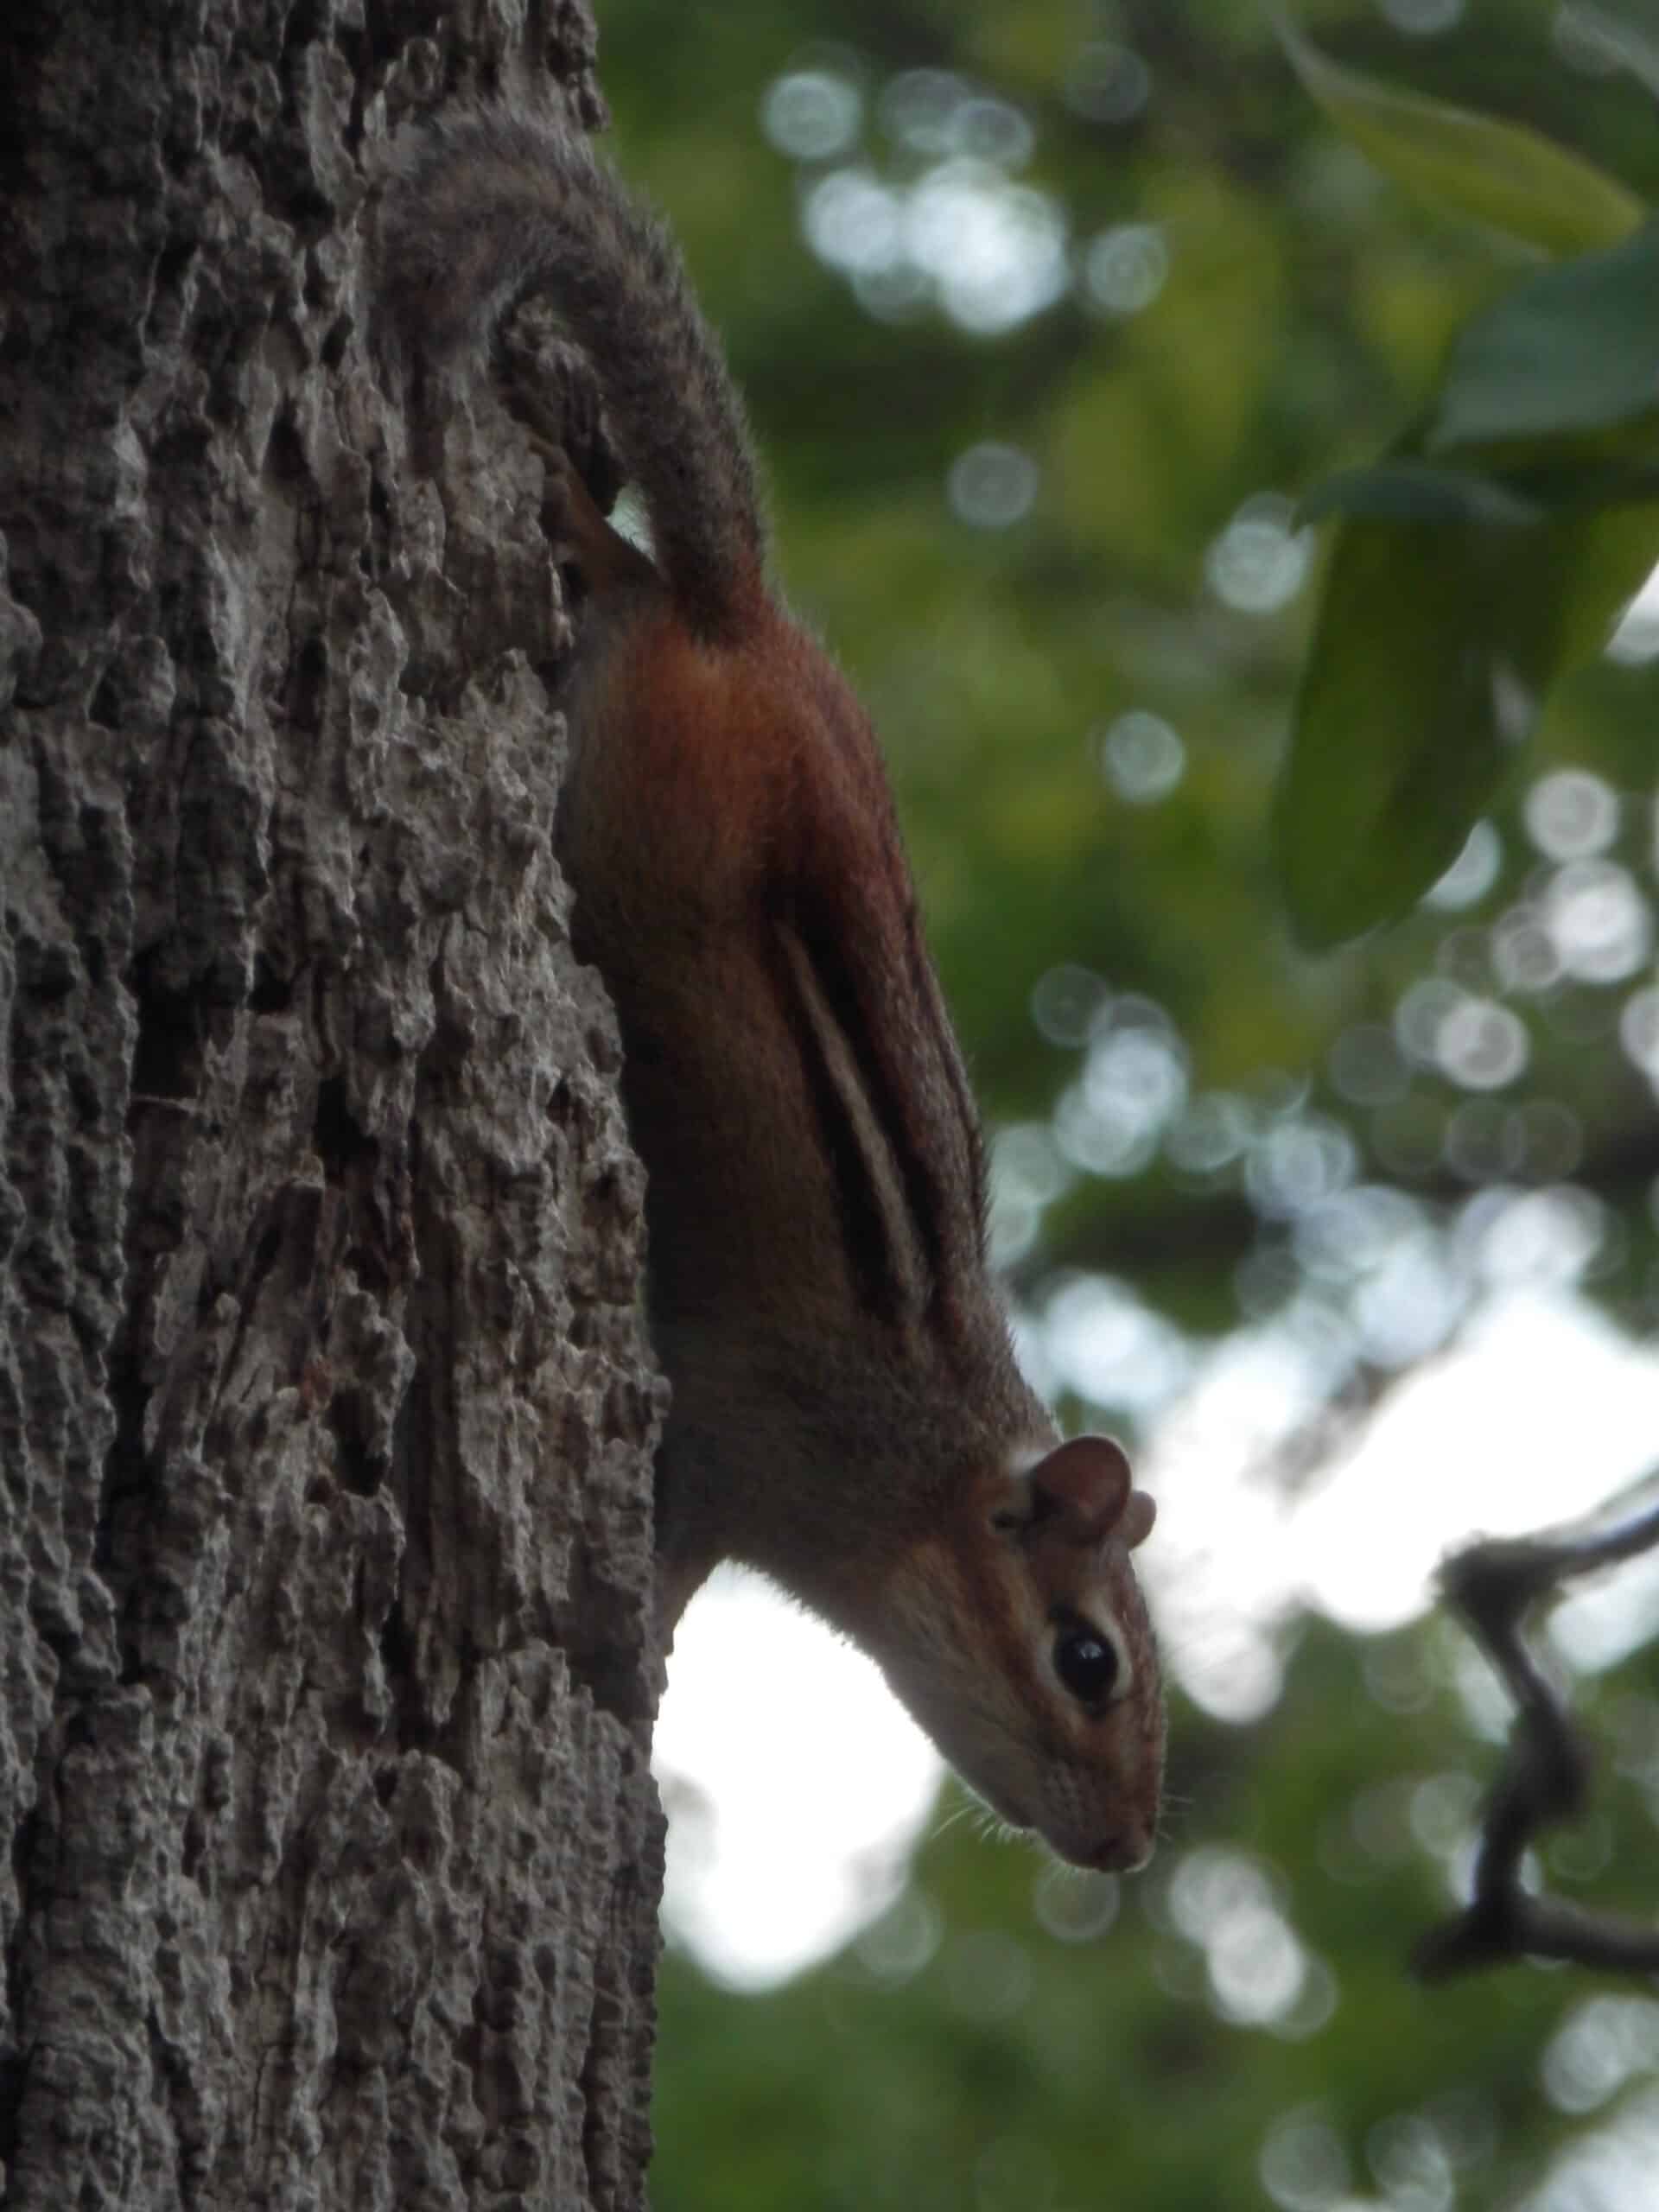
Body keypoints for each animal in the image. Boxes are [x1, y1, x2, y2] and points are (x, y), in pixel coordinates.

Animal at [376, 105, 1164, 1873]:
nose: (1128, 1849)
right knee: (633, 584)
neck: (923, 1466)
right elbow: (668, 1561)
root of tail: (751, 627)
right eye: (1088, 1658)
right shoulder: (743, 1448)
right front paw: (639, 1667)